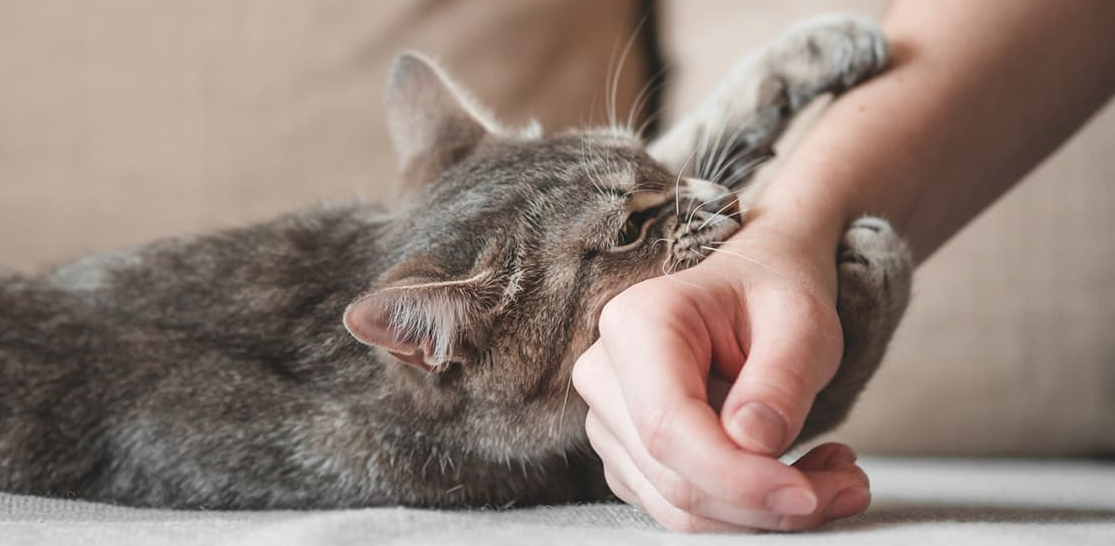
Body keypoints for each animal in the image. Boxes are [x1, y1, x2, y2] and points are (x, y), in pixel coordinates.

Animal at [0, 17, 905, 512]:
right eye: (626, 234)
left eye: (646, 166)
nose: (723, 202)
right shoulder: (577, 467)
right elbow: (826, 382)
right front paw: (872, 274)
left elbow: (703, 125)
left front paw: (810, 48)